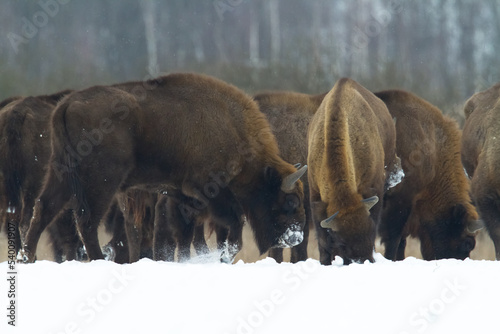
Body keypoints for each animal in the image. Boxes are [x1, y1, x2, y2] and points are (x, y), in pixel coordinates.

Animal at [23, 73, 308, 264]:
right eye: (290, 201)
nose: (296, 237)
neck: (231, 125)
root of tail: (66, 105)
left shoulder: (182, 195)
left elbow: (186, 235)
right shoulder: (208, 190)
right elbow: (233, 224)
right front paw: (224, 256)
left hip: (60, 173)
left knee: (43, 209)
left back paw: (26, 257)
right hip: (101, 182)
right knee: (86, 221)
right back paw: (96, 259)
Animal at [306, 77, 396, 264]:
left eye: (370, 229)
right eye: (341, 241)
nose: (364, 260)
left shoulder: (374, 187)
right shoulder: (315, 194)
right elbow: (322, 240)